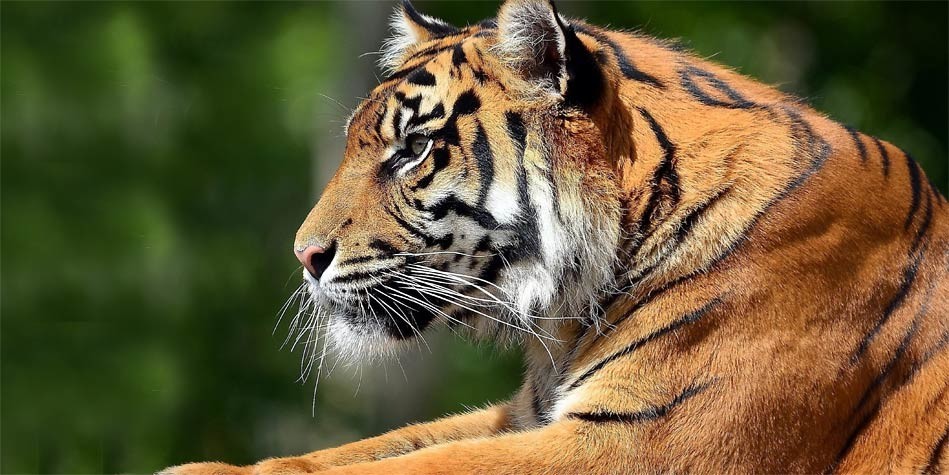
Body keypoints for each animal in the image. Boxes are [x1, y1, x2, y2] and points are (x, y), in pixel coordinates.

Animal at [163, 0, 948, 474]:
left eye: (412, 149)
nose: (304, 256)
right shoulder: (526, 413)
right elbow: (363, 452)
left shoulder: (634, 441)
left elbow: (406, 467)